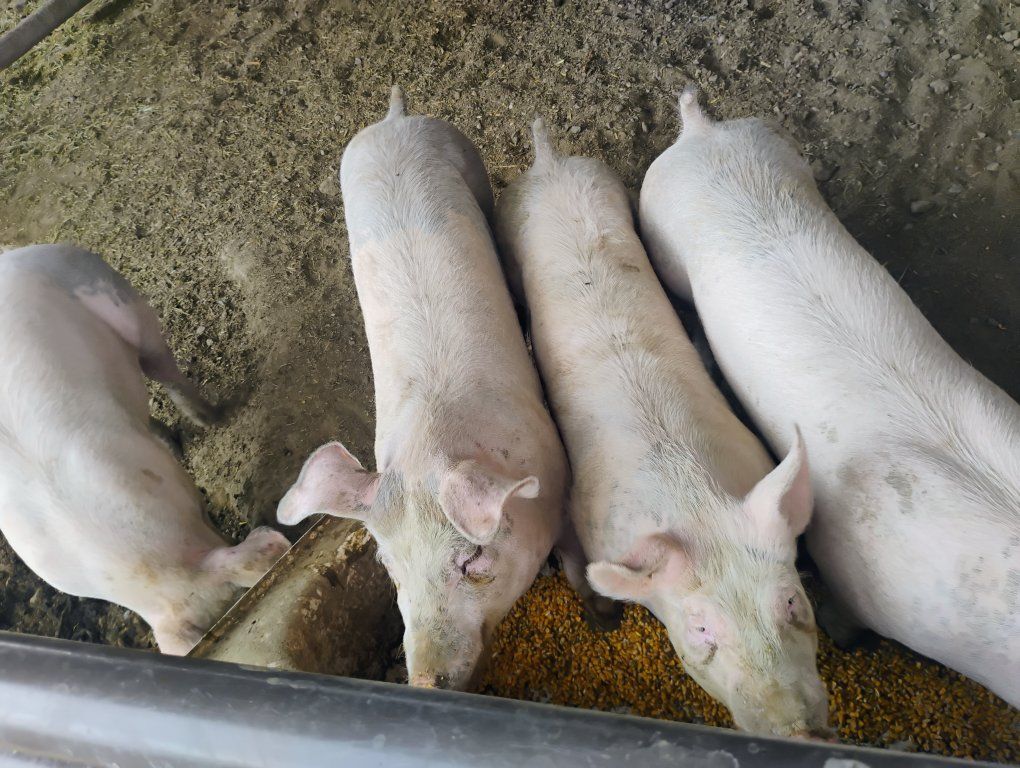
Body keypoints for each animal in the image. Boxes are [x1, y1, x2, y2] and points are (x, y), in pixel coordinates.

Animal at [0, 243, 290, 655]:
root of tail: (12, 257)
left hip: (114, 294)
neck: (156, 573)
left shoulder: (164, 473)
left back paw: (208, 419)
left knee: (160, 366)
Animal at [493, 119, 831, 738]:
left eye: (793, 602)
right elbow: (582, 569)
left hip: (610, 186)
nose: (802, 732)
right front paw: (603, 620)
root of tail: (549, 161)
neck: (693, 501)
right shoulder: (583, 511)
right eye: (701, 630)